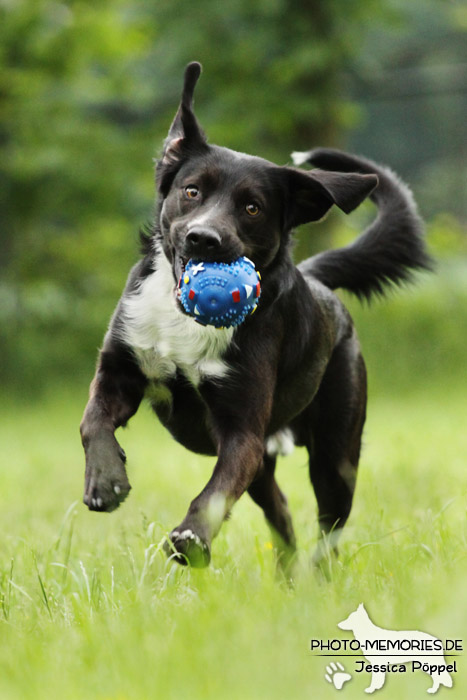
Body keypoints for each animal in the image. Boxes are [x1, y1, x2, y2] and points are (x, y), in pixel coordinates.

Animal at [79, 63, 432, 568]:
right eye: (191, 191)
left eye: (252, 208)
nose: (203, 238)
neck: (185, 322)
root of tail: (317, 279)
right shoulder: (120, 369)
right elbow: (93, 421)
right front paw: (106, 481)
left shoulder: (241, 430)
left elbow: (215, 494)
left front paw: (192, 538)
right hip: (270, 465)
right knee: (280, 510)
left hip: (335, 451)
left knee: (330, 523)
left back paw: (317, 574)